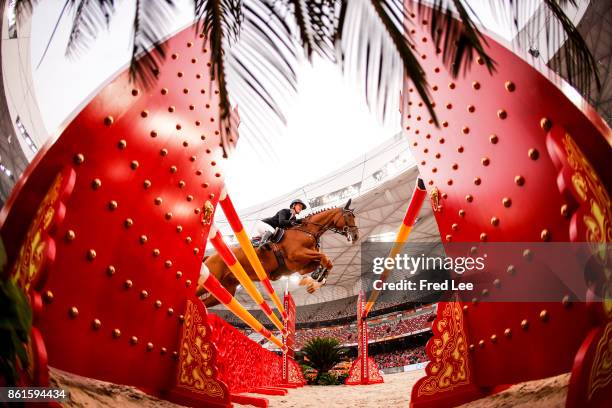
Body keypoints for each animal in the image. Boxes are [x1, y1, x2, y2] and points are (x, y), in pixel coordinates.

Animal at [196, 199, 358, 308]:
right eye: (349, 216)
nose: (356, 236)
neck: (307, 232)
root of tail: (210, 256)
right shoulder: (297, 256)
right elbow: (325, 258)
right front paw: (315, 280)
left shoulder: (300, 266)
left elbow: (325, 262)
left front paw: (314, 280)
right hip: (211, 277)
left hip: (228, 288)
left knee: (205, 301)